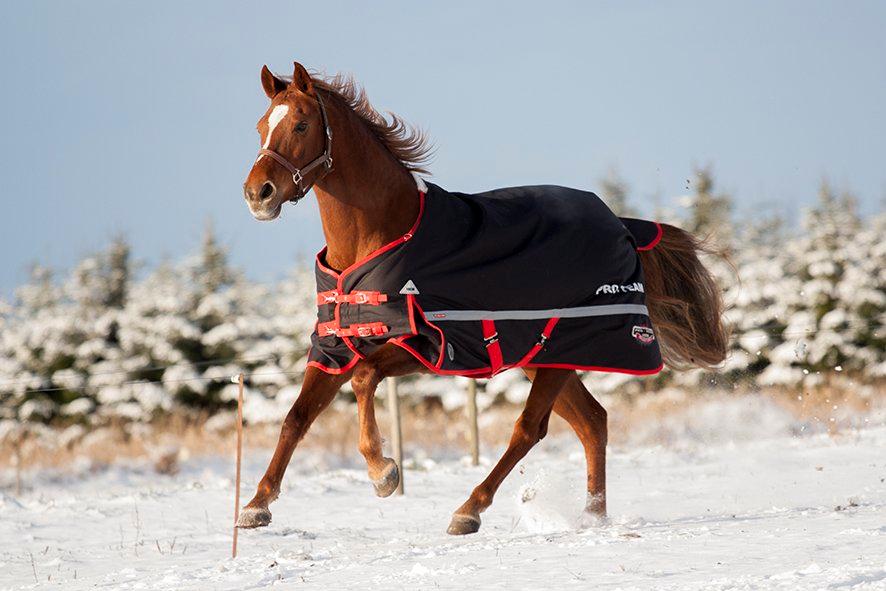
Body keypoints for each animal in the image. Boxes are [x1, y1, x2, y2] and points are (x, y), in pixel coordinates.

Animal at [238, 61, 728, 536]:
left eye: (301, 124)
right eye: (261, 125)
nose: (257, 194)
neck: (381, 236)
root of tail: (622, 226)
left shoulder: (430, 344)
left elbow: (363, 380)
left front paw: (384, 473)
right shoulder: (335, 345)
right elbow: (296, 417)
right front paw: (256, 506)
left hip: (562, 347)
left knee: (530, 429)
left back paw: (469, 511)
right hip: (547, 356)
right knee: (592, 422)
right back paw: (592, 517)